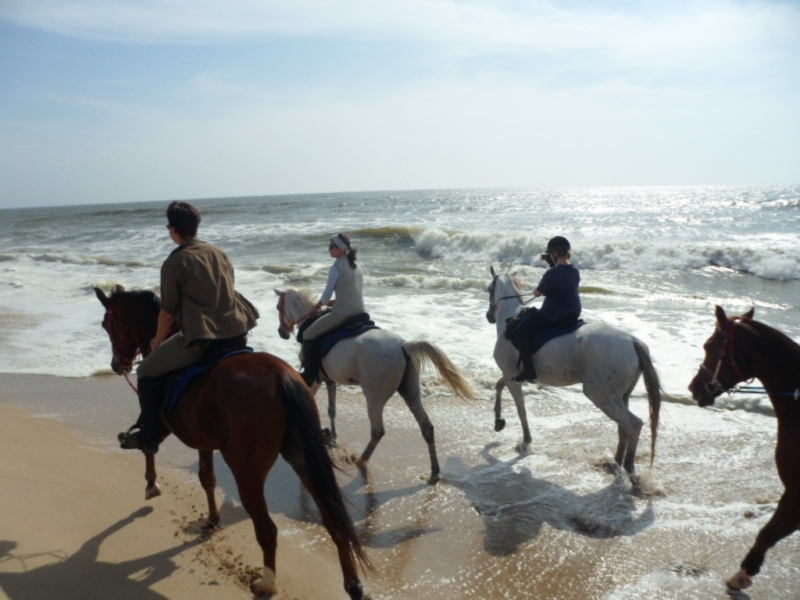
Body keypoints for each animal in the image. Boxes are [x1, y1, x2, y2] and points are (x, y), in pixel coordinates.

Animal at [94, 288, 372, 600]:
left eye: (107, 325)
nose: (117, 365)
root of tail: (281, 376)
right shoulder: (202, 438)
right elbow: (207, 478)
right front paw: (213, 518)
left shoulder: (162, 420)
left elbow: (148, 443)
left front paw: (152, 482)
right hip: (303, 459)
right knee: (333, 520)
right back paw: (352, 584)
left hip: (247, 472)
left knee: (267, 530)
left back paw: (267, 584)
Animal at [276, 288, 476, 482]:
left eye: (278, 307)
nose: (281, 333)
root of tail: (403, 345)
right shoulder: (330, 381)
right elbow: (332, 410)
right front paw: (331, 434)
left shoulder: (315, 381)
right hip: (410, 392)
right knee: (426, 427)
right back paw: (434, 471)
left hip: (374, 397)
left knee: (377, 431)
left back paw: (361, 459)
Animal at [488, 266, 664, 478]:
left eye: (488, 289)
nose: (489, 316)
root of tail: (633, 341)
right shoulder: (511, 376)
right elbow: (498, 386)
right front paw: (498, 420)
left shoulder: (511, 377)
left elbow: (520, 410)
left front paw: (525, 442)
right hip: (620, 396)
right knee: (624, 427)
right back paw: (616, 462)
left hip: (601, 395)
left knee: (633, 425)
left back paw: (629, 467)